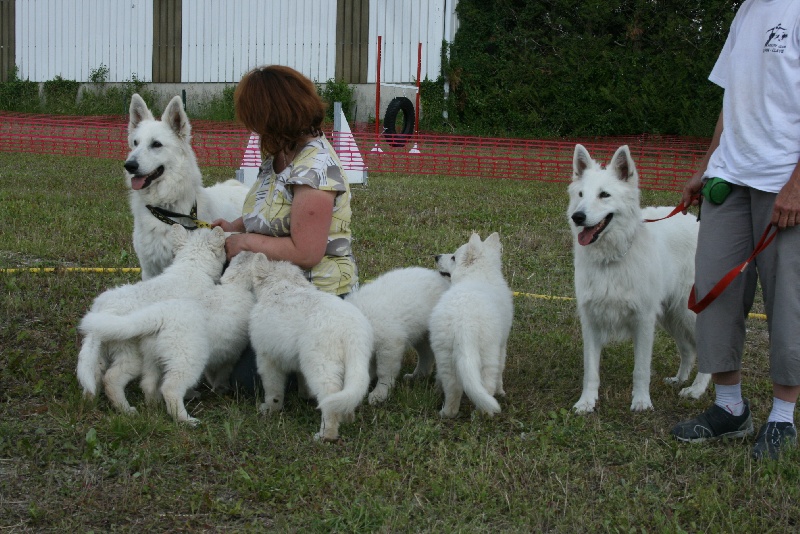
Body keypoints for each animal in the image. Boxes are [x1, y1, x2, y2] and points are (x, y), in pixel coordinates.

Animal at [248, 256, 374, 444]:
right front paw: (305, 395)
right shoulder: (298, 356)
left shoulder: (267, 357)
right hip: (352, 362)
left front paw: (270, 408)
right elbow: (301, 378)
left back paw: (326, 434)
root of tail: (350, 332)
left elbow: (273, 387)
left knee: (330, 396)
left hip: (321, 364)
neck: (282, 287)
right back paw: (347, 417)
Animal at [346, 268, 450, 406]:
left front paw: (380, 393)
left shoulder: (389, 343)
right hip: (420, 333)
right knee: (426, 354)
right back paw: (417, 376)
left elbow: (384, 371)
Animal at [432, 233, 512, 418]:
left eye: (453, 257)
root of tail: (464, 326)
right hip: (488, 353)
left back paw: (447, 413)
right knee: (487, 385)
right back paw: (485, 413)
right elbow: (500, 371)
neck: (478, 274)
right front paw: (501, 392)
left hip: (445, 355)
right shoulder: (502, 345)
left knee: (453, 388)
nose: (436, 256)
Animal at [568, 143, 712, 414]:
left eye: (604, 195)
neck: (612, 259)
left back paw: (696, 390)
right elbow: (590, 370)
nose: (577, 217)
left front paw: (642, 402)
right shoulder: (591, 321)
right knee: (688, 349)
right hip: (671, 315)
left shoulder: (643, 321)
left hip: (689, 313)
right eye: (581, 194)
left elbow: (641, 369)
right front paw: (586, 402)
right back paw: (679, 379)